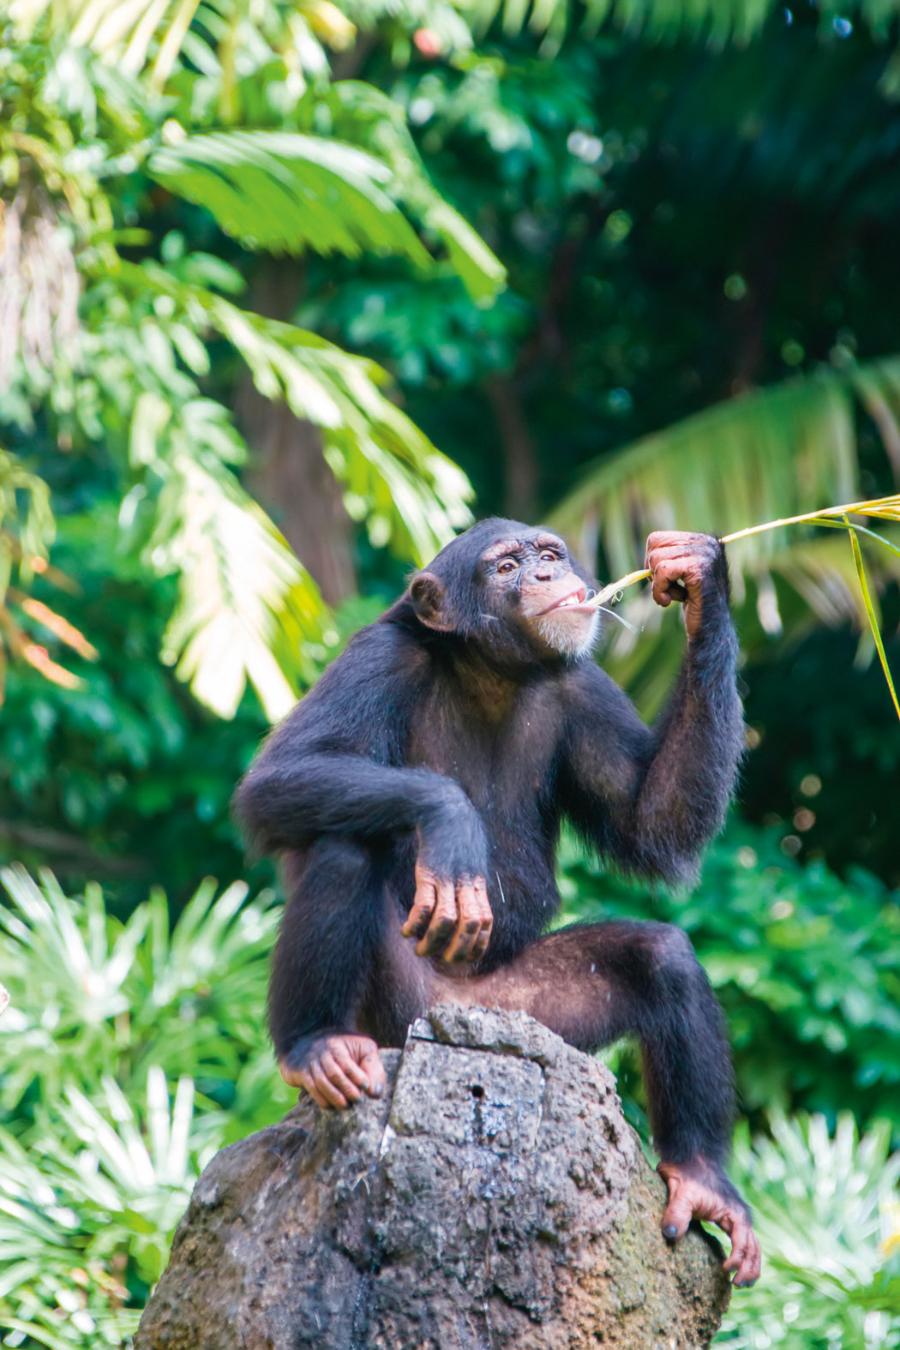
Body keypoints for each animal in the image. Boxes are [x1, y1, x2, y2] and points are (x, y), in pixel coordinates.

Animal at [237, 518, 761, 1285]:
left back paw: (700, 1178)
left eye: (547, 553)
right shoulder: (375, 661)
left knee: (659, 957)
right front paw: (450, 821)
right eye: (506, 567)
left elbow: (651, 818)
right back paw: (317, 1047)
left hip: (531, 1022)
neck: (491, 669)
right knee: (344, 846)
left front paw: (697, 573)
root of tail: (457, 1023)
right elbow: (279, 777)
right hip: (396, 1017)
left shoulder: (586, 687)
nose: (545, 575)